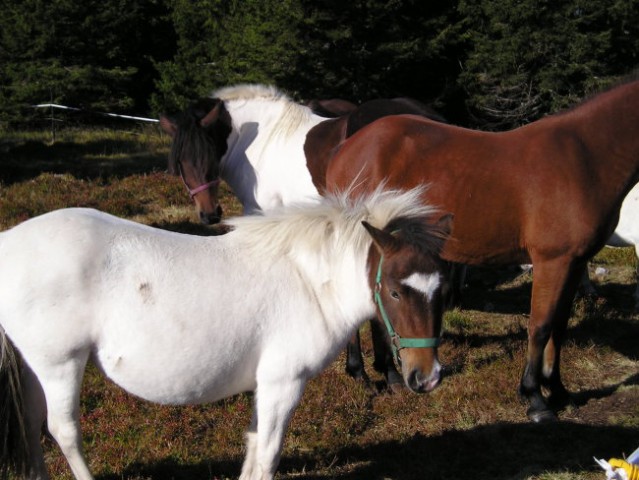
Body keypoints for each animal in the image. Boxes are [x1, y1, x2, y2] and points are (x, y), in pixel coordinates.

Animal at [0, 187, 452, 480]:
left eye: (442, 289)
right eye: (395, 291)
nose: (427, 377)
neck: (308, 279)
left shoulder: (264, 384)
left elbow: (253, 449)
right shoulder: (283, 382)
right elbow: (267, 455)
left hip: (36, 366)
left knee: (32, 421)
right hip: (60, 364)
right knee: (63, 431)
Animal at [324, 78, 639, 420]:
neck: (584, 157)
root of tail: (344, 148)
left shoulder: (576, 261)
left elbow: (559, 326)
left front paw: (558, 390)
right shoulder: (552, 261)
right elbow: (540, 326)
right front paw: (535, 398)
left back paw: (389, 375)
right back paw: (362, 373)